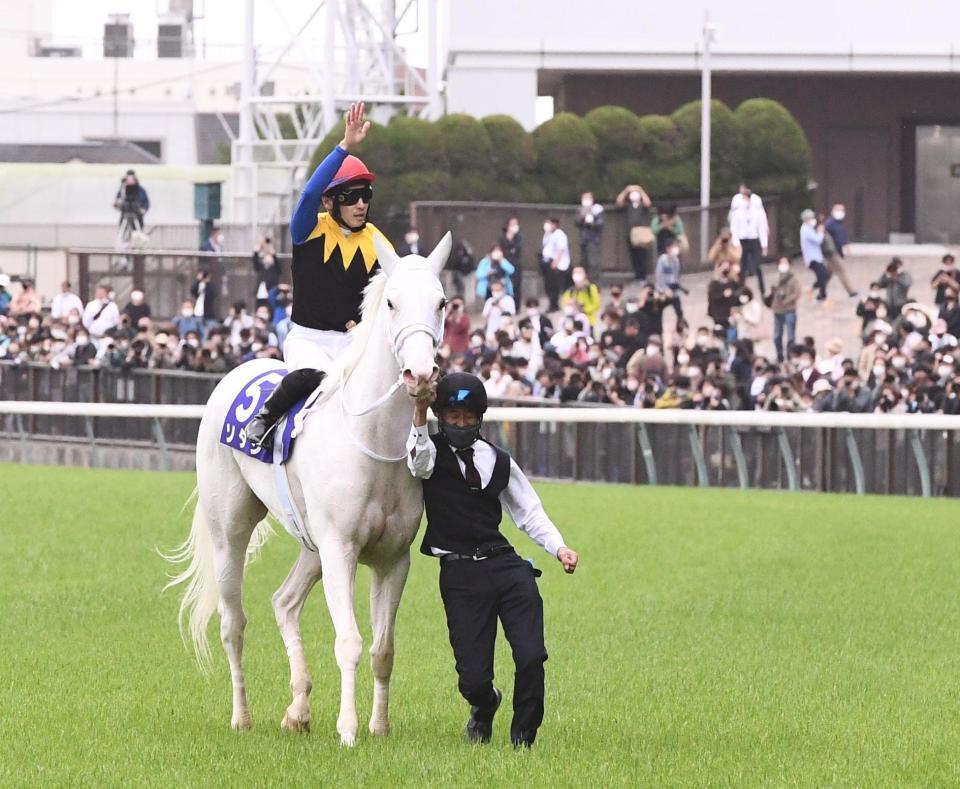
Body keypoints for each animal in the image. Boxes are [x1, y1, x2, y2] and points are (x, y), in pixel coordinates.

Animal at [166, 234, 450, 744]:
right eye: (392, 303)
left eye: (441, 303)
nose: (420, 374)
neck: (372, 441)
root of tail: (235, 374)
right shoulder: (340, 549)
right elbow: (350, 641)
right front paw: (348, 731)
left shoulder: (393, 557)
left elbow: (383, 649)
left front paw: (379, 727)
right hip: (230, 530)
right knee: (233, 623)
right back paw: (242, 717)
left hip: (311, 544)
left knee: (283, 602)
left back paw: (297, 710)